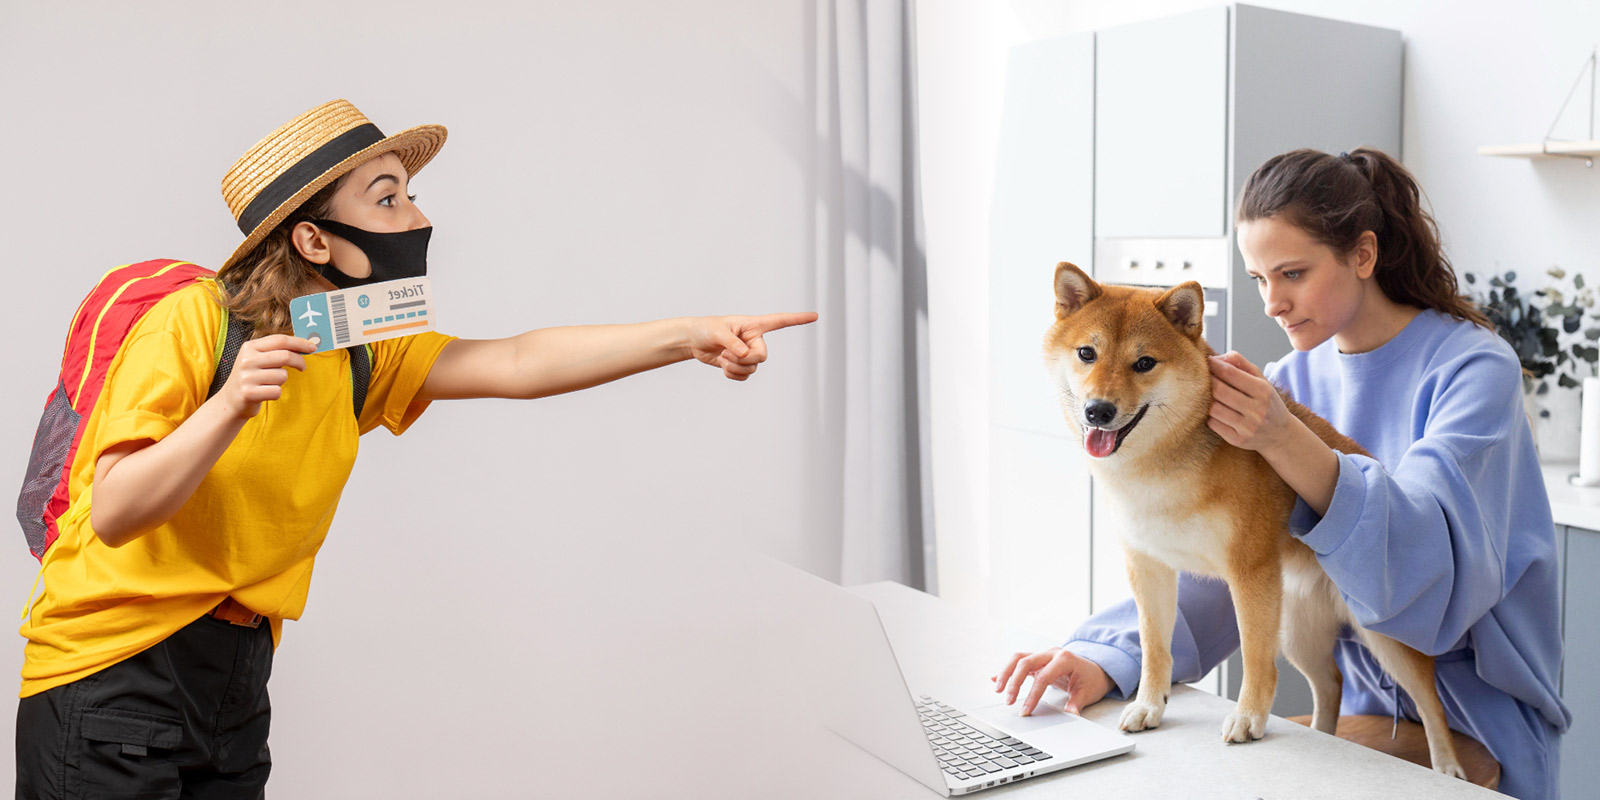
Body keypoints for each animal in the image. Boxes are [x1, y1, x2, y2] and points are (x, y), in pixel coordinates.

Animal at [1043, 264, 1465, 780]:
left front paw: (1248, 718)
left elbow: (1255, 659)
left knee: (1431, 703)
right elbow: (1155, 647)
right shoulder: (1151, 567)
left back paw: (1448, 768)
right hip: (1298, 629)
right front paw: (1149, 706)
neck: (1161, 467)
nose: (1098, 410)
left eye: (1144, 363)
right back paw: (1324, 731)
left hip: (1383, 636)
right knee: (1332, 682)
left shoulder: (1249, 574)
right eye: (1087, 353)